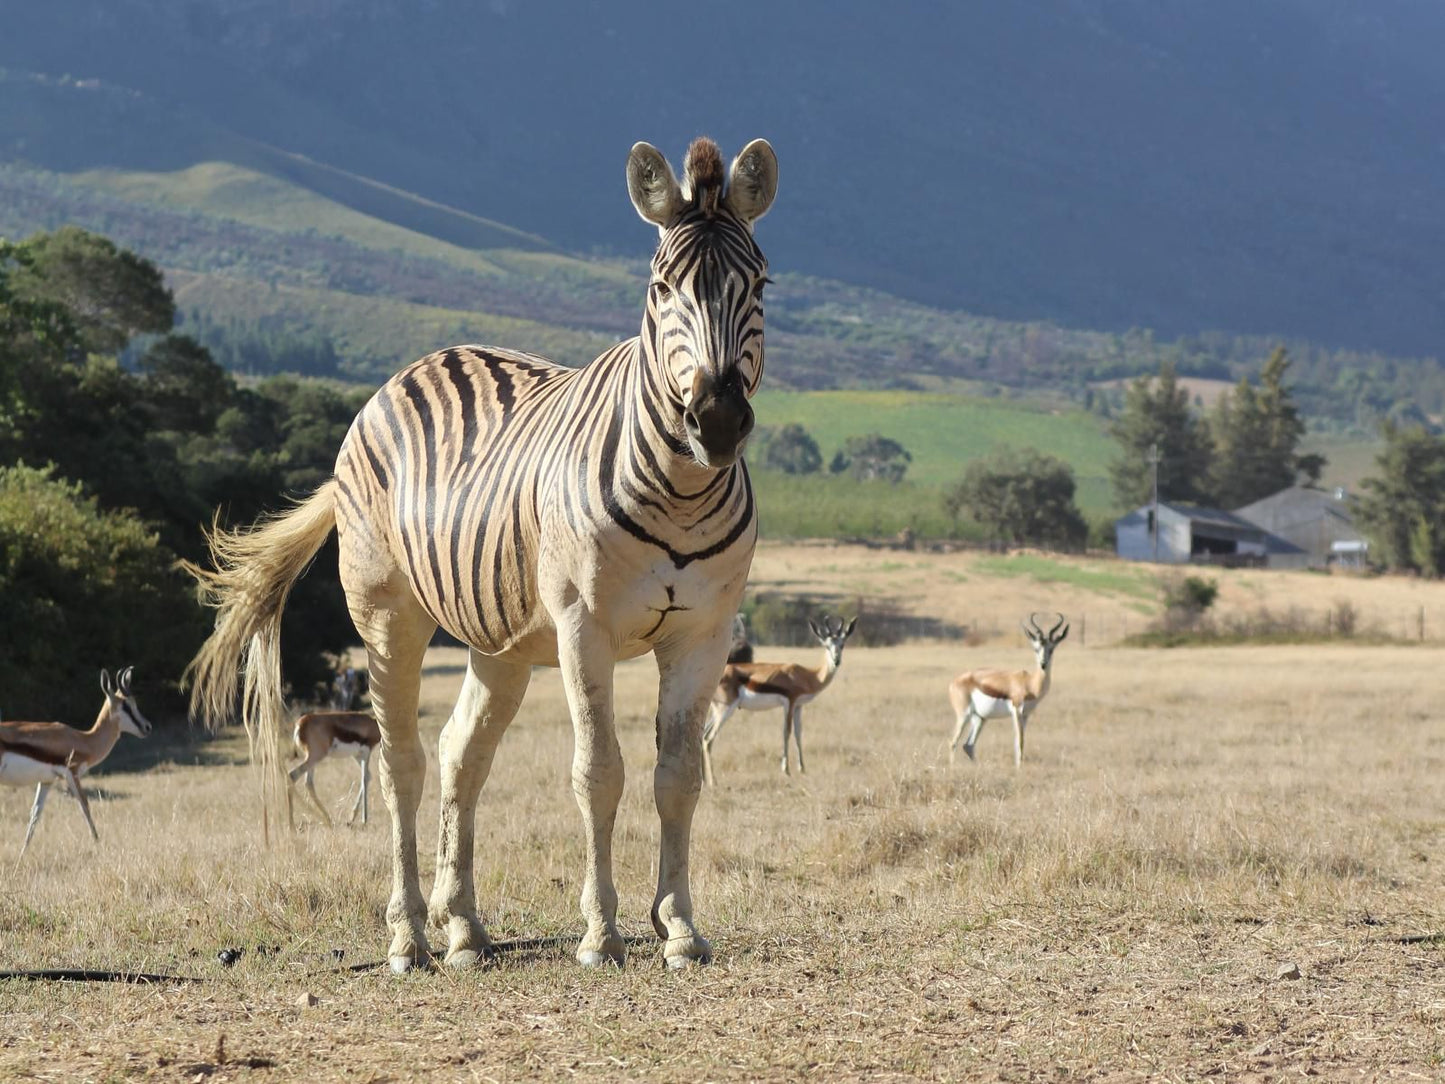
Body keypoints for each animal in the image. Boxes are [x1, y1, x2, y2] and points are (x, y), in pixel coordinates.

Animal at [0, 670, 152, 855]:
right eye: (126, 706)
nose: (147, 727)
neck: (84, 740)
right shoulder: (72, 774)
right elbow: (85, 807)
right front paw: (98, 844)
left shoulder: (47, 780)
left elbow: (35, 813)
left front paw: (23, 854)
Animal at [187, 135, 786, 977]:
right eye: (661, 287)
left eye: (758, 282)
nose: (716, 419)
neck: (683, 488)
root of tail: (421, 364)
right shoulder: (583, 627)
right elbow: (598, 771)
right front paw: (602, 934)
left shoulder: (702, 633)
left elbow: (678, 776)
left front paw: (678, 928)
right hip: (386, 614)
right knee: (401, 762)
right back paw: (409, 935)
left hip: (497, 642)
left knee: (459, 754)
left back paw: (464, 928)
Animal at [702, 615, 855, 786]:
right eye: (827, 646)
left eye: (842, 644)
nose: (836, 661)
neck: (808, 676)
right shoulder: (789, 702)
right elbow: (786, 732)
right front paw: (786, 770)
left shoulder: (799, 706)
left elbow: (798, 733)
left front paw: (802, 768)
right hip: (726, 709)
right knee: (708, 739)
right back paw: (713, 781)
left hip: (718, 711)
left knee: (702, 735)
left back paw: (703, 779)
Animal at [953, 612, 1069, 774]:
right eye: (1036, 649)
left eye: (1051, 649)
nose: (1043, 664)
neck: (1029, 682)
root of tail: (954, 681)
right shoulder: (1017, 711)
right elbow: (1019, 740)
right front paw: (1019, 769)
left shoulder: (1026, 715)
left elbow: (1019, 741)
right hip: (964, 715)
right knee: (953, 742)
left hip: (980, 718)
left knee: (968, 745)